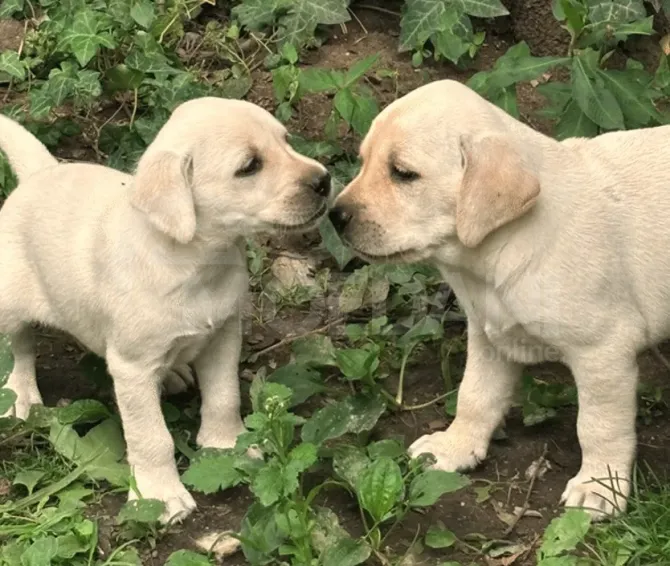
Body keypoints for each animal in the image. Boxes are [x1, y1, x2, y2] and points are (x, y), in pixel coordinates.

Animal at [0, 98, 330, 524]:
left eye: (286, 141)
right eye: (249, 166)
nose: (324, 181)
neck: (196, 263)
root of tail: (41, 174)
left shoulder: (224, 334)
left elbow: (224, 396)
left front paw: (227, 444)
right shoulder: (132, 369)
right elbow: (151, 436)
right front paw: (159, 494)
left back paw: (173, 373)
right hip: (11, 302)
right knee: (20, 347)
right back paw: (21, 394)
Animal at [328, 79, 670, 520]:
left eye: (403, 173)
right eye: (363, 161)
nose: (335, 216)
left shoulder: (603, 351)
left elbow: (598, 425)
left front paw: (599, 486)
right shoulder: (488, 335)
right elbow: (474, 396)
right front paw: (454, 447)